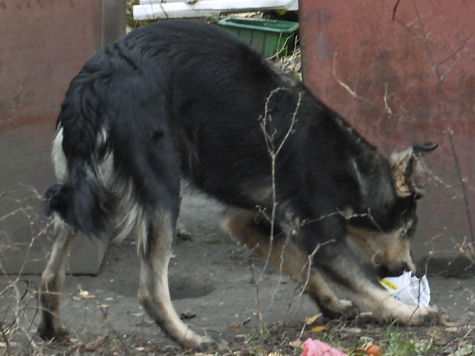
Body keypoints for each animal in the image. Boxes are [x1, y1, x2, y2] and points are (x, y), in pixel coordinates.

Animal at [39, 19, 440, 348]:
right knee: (151, 290)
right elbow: (362, 280)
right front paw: (409, 313)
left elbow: (301, 267)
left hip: (83, 187)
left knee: (50, 271)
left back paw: (51, 327)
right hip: (161, 192)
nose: (407, 269)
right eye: (407, 229)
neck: (352, 167)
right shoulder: (320, 235)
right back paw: (189, 339)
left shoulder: (247, 221)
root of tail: (96, 77)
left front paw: (332, 304)